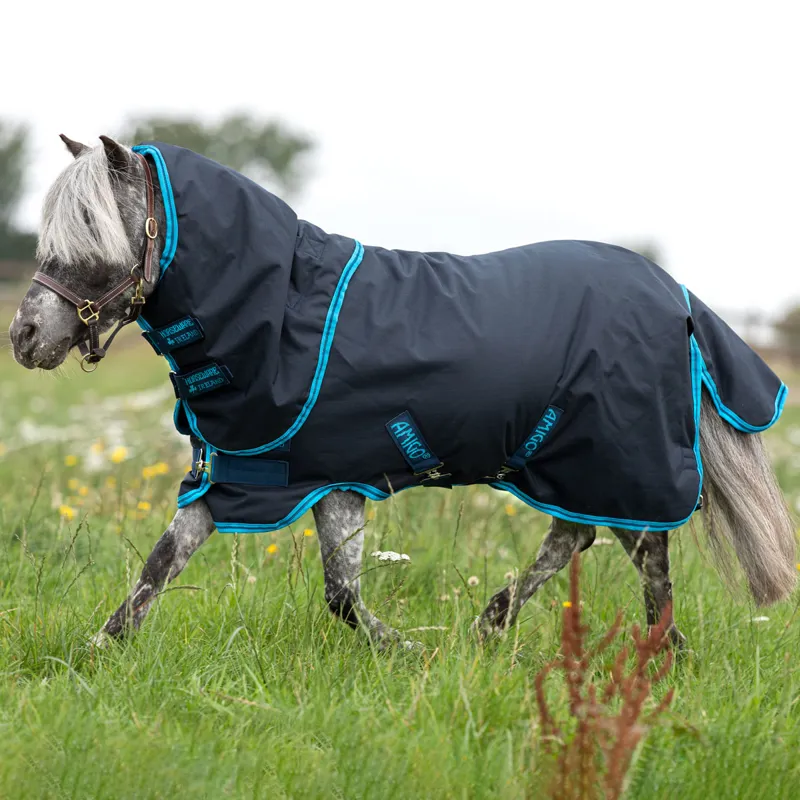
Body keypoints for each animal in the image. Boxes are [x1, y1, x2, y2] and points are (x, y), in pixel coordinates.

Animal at [9, 135, 797, 650]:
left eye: (95, 234)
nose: (24, 336)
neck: (278, 314)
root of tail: (676, 295)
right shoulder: (271, 476)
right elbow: (168, 567)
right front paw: (99, 653)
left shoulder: (319, 479)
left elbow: (339, 595)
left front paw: (408, 651)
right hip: (570, 459)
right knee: (578, 535)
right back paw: (499, 623)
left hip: (619, 456)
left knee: (642, 552)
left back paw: (651, 652)